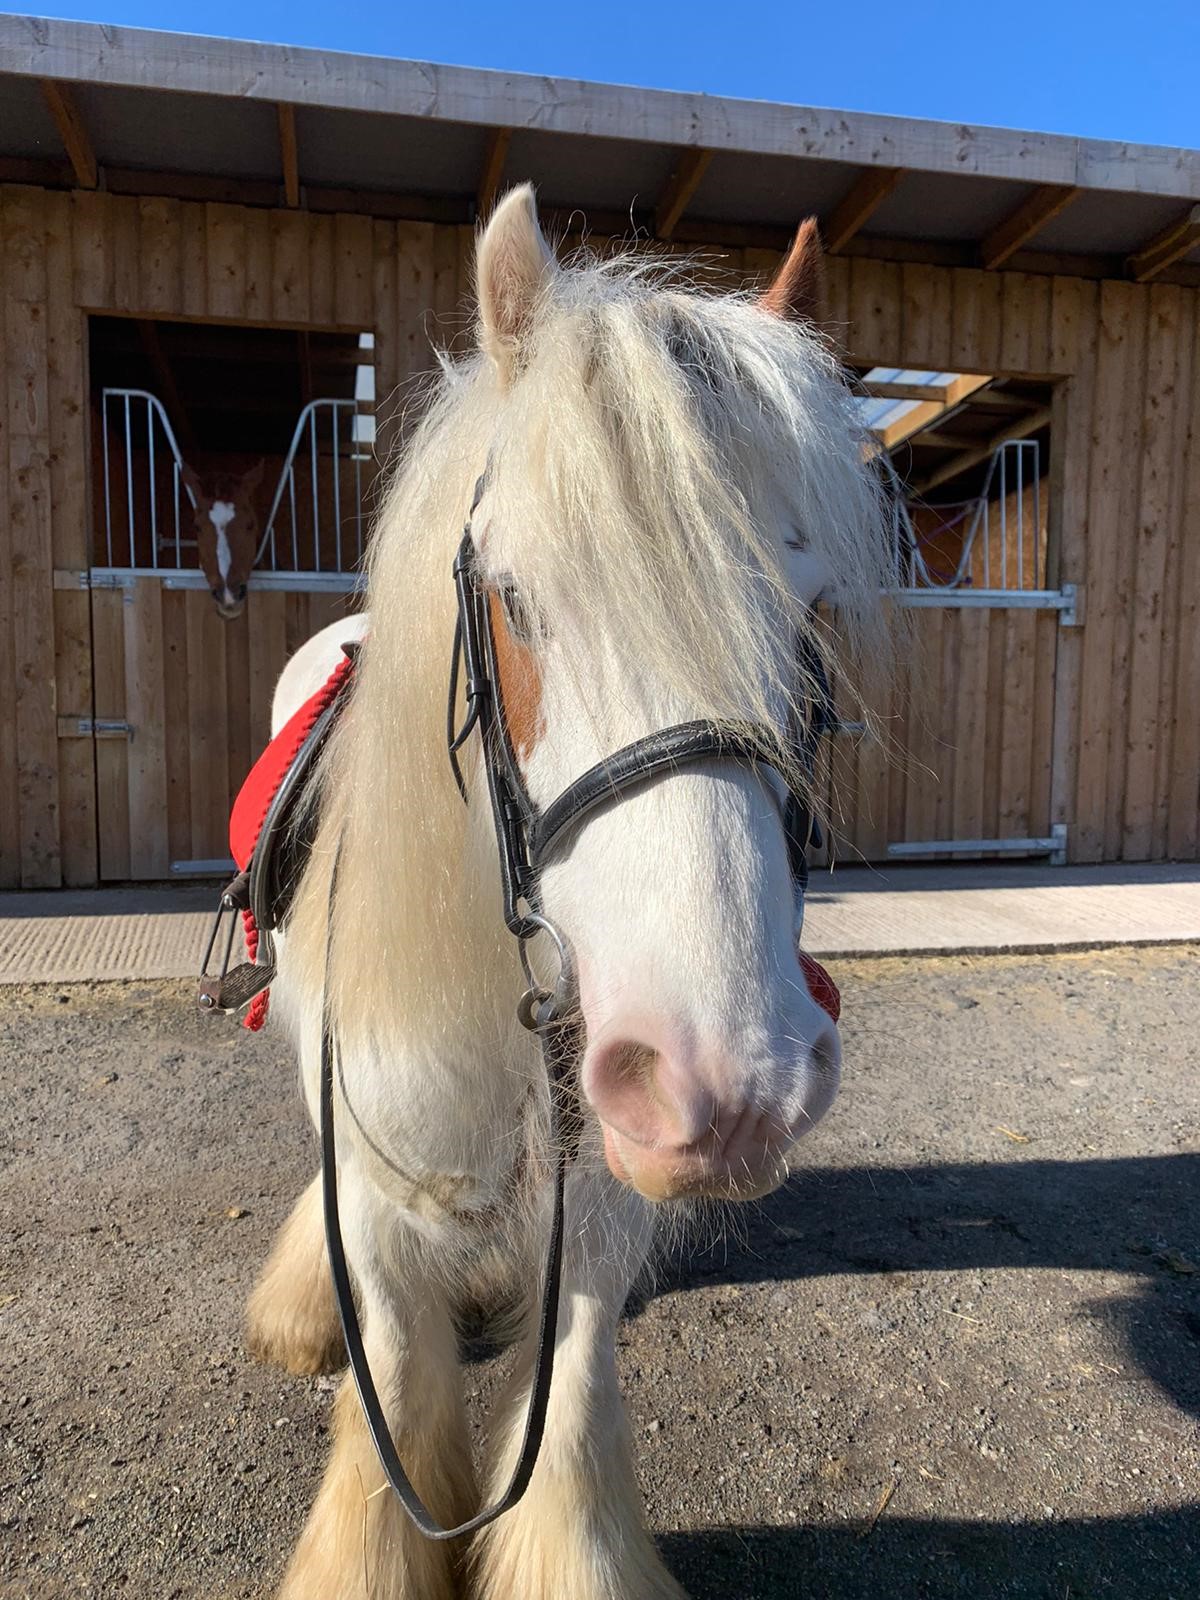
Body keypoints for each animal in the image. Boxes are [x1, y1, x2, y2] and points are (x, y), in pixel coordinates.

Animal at [243, 185, 893, 1600]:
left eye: (814, 617)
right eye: (515, 599)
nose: (731, 1081)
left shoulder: (598, 1196)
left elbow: (578, 1369)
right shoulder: (378, 1183)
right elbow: (395, 1372)